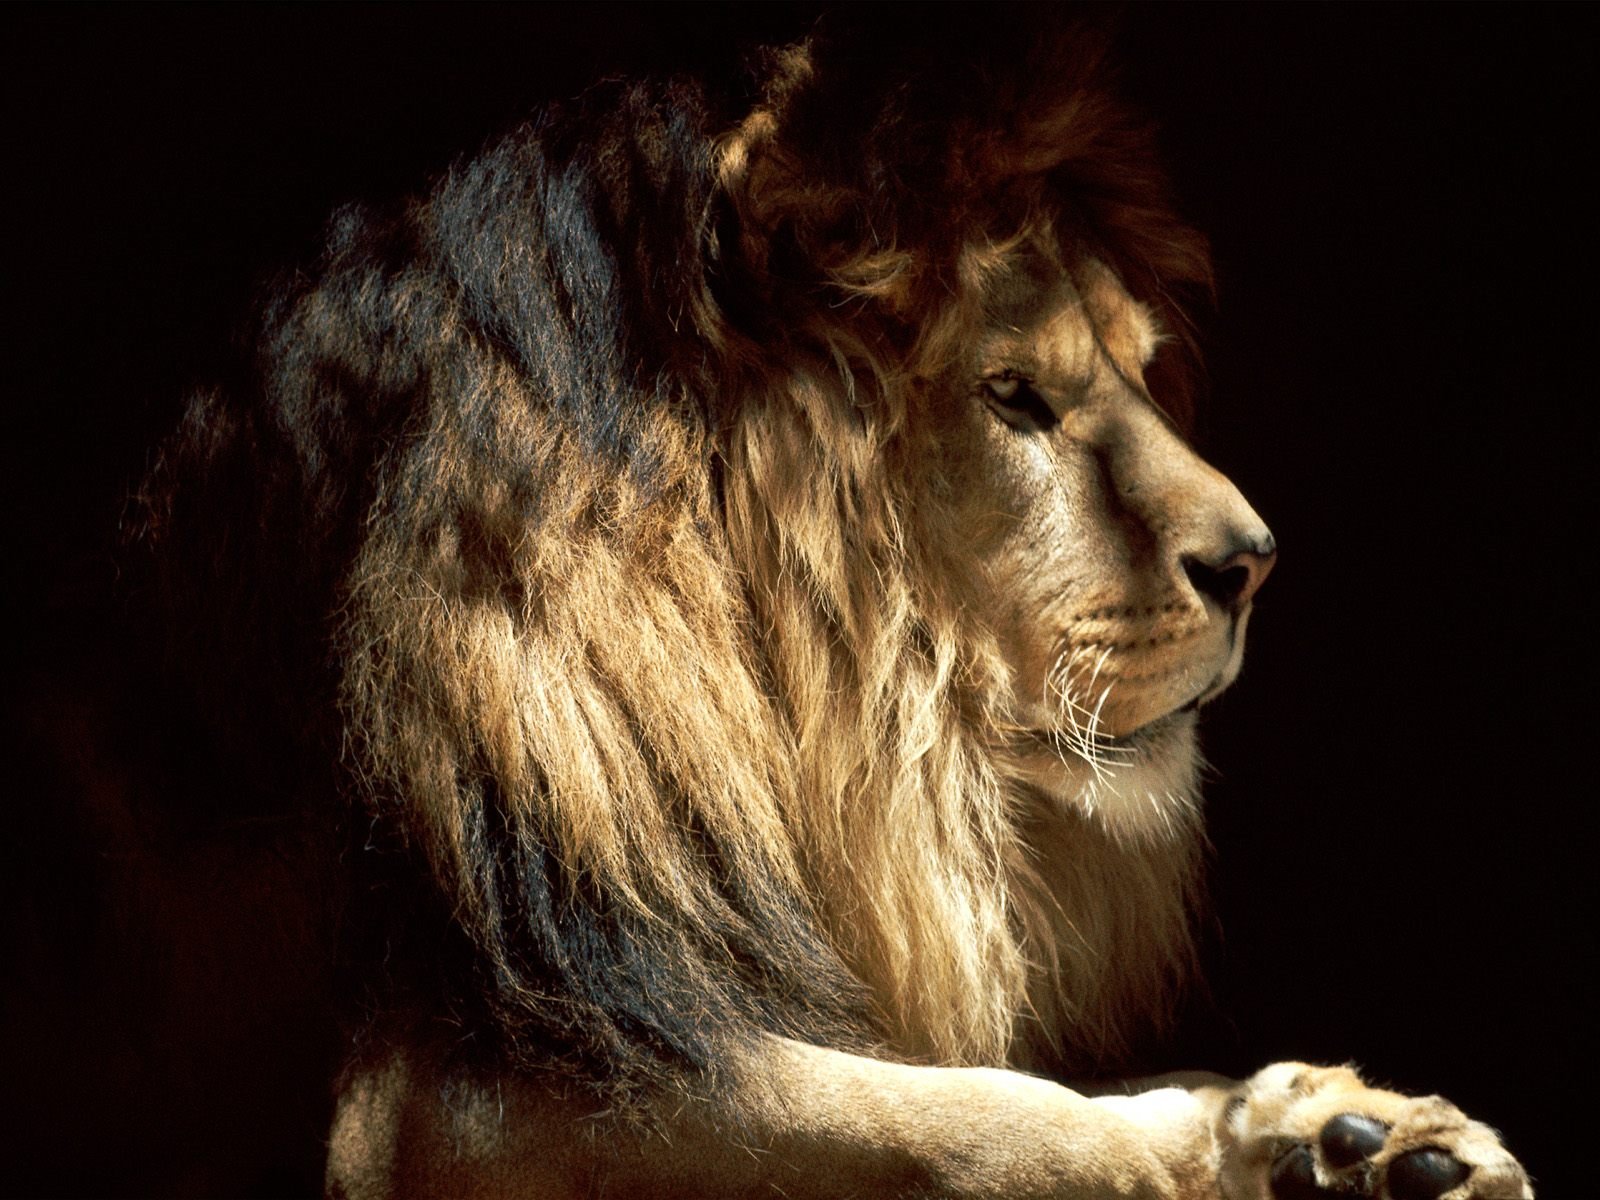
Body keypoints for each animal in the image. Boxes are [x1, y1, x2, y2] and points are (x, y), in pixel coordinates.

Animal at [119, 14, 1530, 1200]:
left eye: (1139, 371)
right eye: (1012, 397)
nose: (1252, 561)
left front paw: (1337, 1136)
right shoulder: (421, 1103)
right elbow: (967, 1112)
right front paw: (1201, 1155)